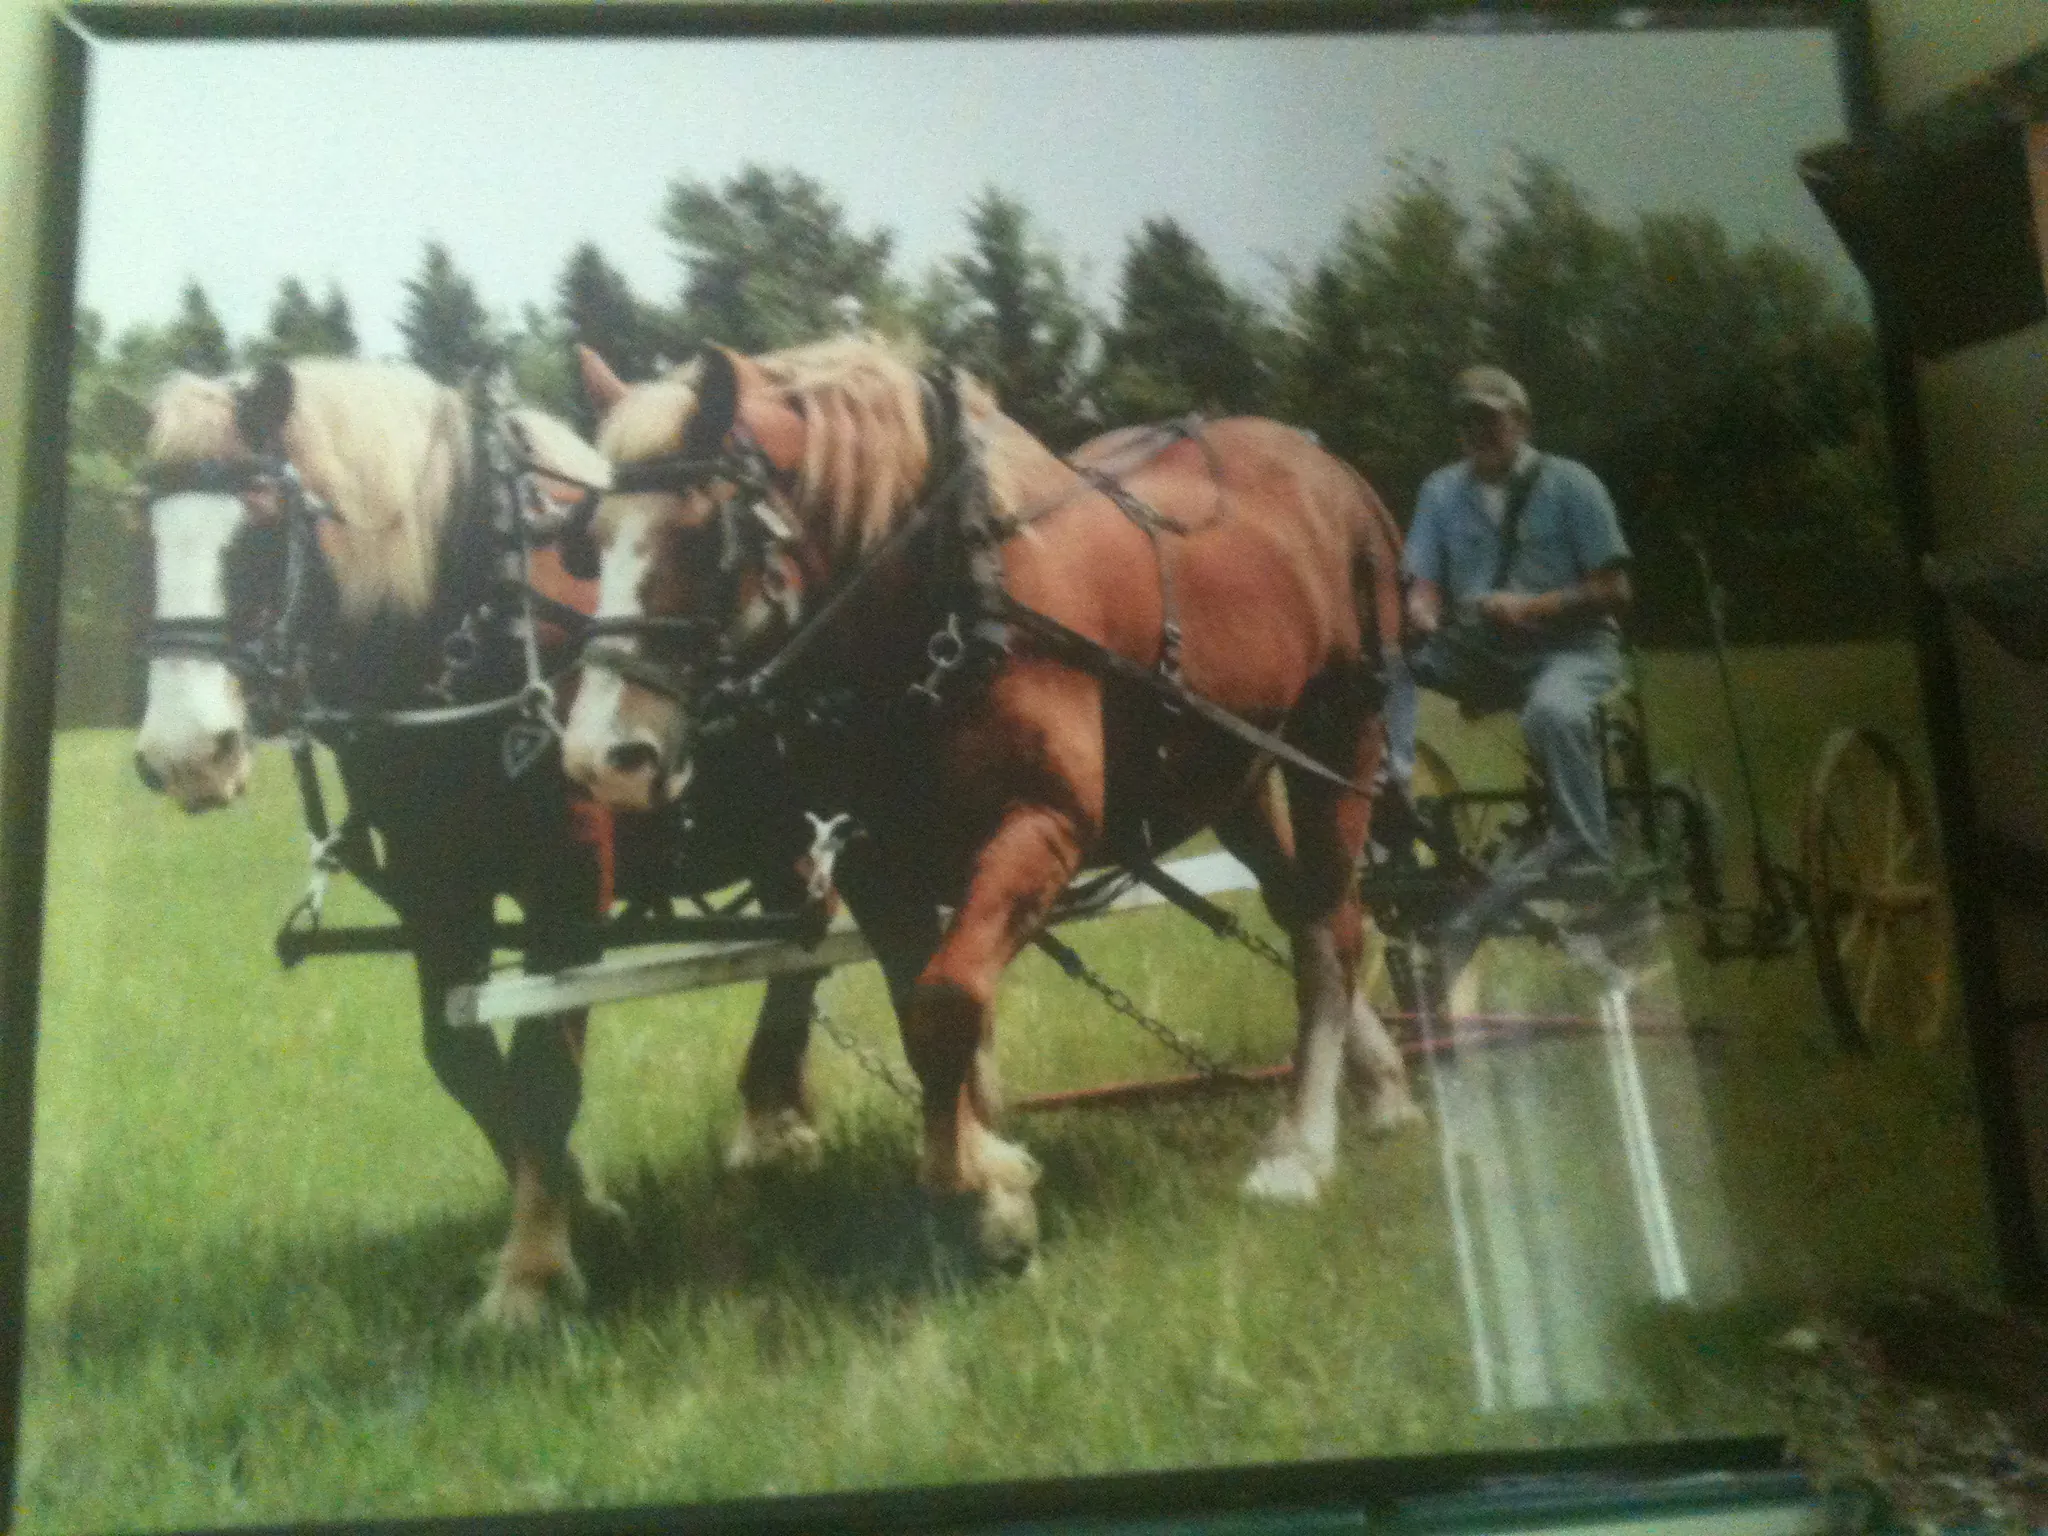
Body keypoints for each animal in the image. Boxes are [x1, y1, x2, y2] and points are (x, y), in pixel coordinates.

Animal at [132, 356, 844, 1325]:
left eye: (262, 531)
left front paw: (532, 1275)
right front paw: (584, 1208)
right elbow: (465, 1061)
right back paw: (786, 1113)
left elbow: (543, 1065)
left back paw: (770, 1124)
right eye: (143, 535)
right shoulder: (438, 888)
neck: (476, 617)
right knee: (800, 938)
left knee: (812, 938)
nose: (182, 755)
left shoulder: (570, 882)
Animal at [559, 336, 1424, 1269]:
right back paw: (1381, 1092)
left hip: (1339, 738)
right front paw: (989, 1190)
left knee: (1332, 927)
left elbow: (949, 1004)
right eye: (589, 542)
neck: (949, 595)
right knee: (1305, 910)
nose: (604, 755)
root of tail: (1329, 466)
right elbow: (923, 1019)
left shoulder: (1044, 823)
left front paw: (976, 1190)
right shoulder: (874, 862)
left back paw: (1301, 1148)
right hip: (1234, 769)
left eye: (702, 534)